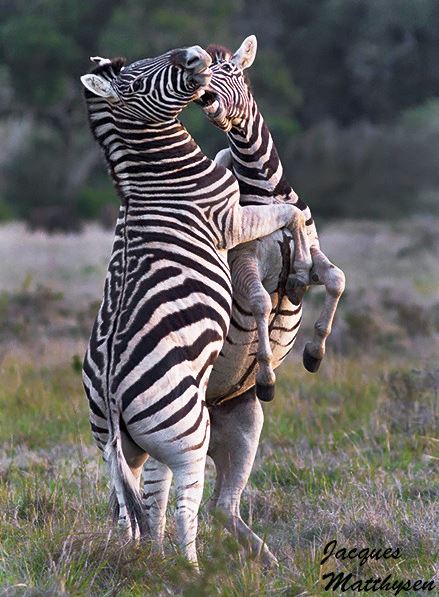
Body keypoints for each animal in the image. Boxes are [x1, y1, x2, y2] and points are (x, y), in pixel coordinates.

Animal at [80, 45, 312, 564]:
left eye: (146, 58)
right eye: (136, 81)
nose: (195, 54)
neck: (158, 174)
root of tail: (109, 387)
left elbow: (290, 212)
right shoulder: (231, 218)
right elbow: (288, 212)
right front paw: (301, 269)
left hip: (120, 446)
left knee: (130, 508)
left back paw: (143, 561)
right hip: (186, 431)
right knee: (187, 502)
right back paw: (189, 567)